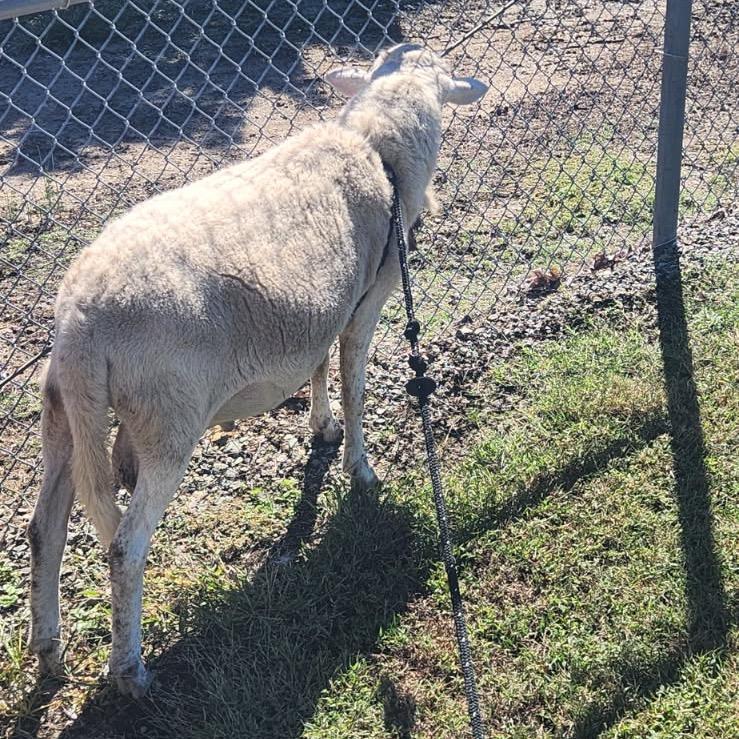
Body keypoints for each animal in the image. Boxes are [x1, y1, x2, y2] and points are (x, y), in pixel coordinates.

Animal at [27, 43, 487, 697]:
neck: (375, 151)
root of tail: (80, 323)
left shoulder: (323, 308)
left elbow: (318, 367)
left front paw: (322, 429)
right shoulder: (366, 303)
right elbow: (354, 384)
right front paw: (361, 471)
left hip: (67, 415)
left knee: (46, 529)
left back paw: (48, 650)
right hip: (166, 422)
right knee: (124, 548)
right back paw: (129, 670)